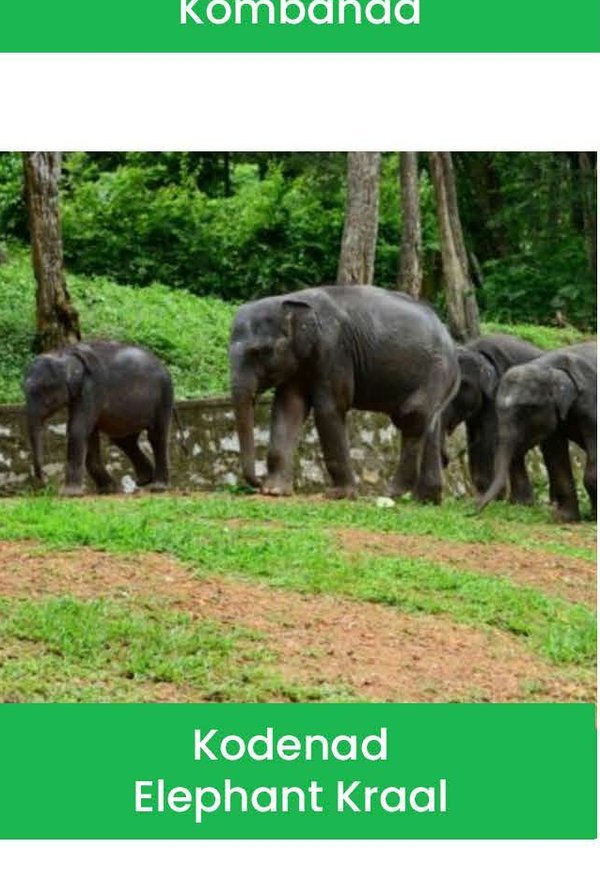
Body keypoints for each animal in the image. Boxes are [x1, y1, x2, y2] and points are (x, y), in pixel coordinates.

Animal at [23, 340, 175, 496]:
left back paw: (158, 487)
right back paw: (144, 480)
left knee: (157, 437)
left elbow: (77, 428)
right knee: (123, 441)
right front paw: (107, 490)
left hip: (164, 396)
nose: (43, 487)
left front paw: (70, 494)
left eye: (45, 389)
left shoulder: (93, 387)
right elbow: (89, 434)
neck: (64, 353)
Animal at [229, 285, 460, 502]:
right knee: (431, 425)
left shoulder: (335, 350)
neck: (291, 299)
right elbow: (288, 407)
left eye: (259, 352)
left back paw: (392, 494)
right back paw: (426, 500)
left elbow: (329, 408)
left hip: (436, 372)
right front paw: (274, 492)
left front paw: (339, 495)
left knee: (413, 417)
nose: (257, 483)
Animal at [442, 334, 542, 502]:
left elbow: (488, 438)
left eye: (461, 385)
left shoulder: (498, 395)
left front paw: (488, 496)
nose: (446, 459)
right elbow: (476, 436)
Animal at [478, 342, 597, 522]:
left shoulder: (592, 406)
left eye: (527, 409)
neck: (547, 367)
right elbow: (554, 454)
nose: (472, 510)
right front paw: (563, 518)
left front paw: (593, 517)